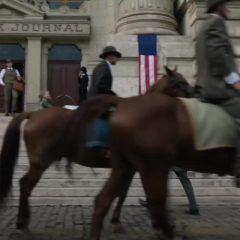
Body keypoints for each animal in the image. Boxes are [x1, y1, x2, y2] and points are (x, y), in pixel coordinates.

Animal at [85, 68, 236, 240]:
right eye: (179, 83)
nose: (196, 95)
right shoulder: (147, 167)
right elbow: (131, 193)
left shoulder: (139, 167)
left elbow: (129, 192)